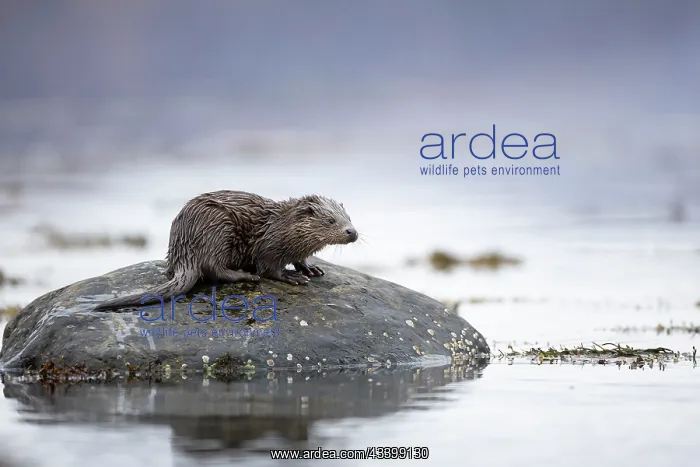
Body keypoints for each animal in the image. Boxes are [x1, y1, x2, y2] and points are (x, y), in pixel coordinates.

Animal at [93, 190, 359, 311]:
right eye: (331, 221)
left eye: (349, 218)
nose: (352, 232)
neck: (281, 228)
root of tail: (184, 246)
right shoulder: (268, 246)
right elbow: (270, 269)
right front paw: (292, 276)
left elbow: (301, 259)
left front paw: (311, 268)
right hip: (219, 229)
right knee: (214, 269)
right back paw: (246, 275)